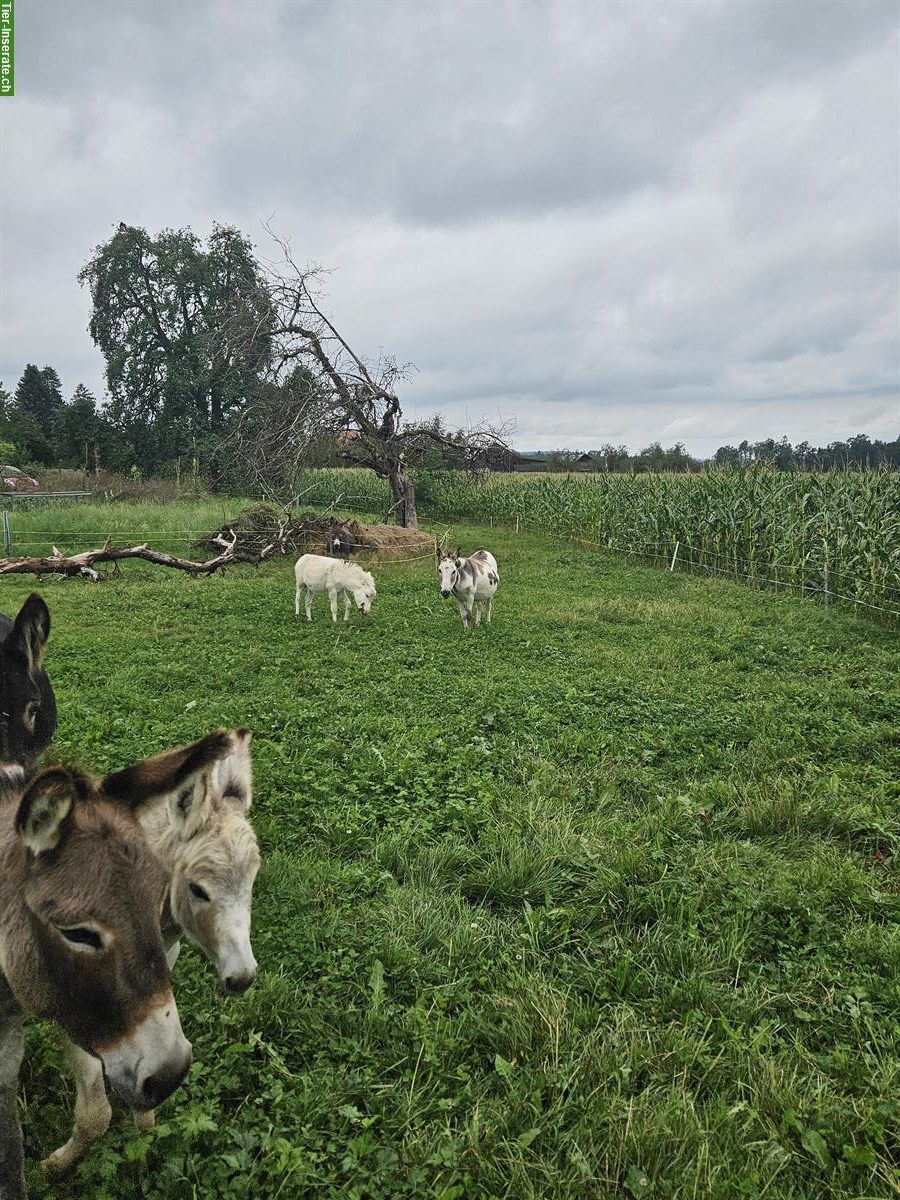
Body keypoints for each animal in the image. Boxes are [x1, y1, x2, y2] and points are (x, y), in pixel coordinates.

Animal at [43, 724, 260, 1176]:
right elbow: (95, 1113)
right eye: (198, 890)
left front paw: (144, 1137)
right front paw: (56, 1166)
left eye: (253, 878)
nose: (243, 978)